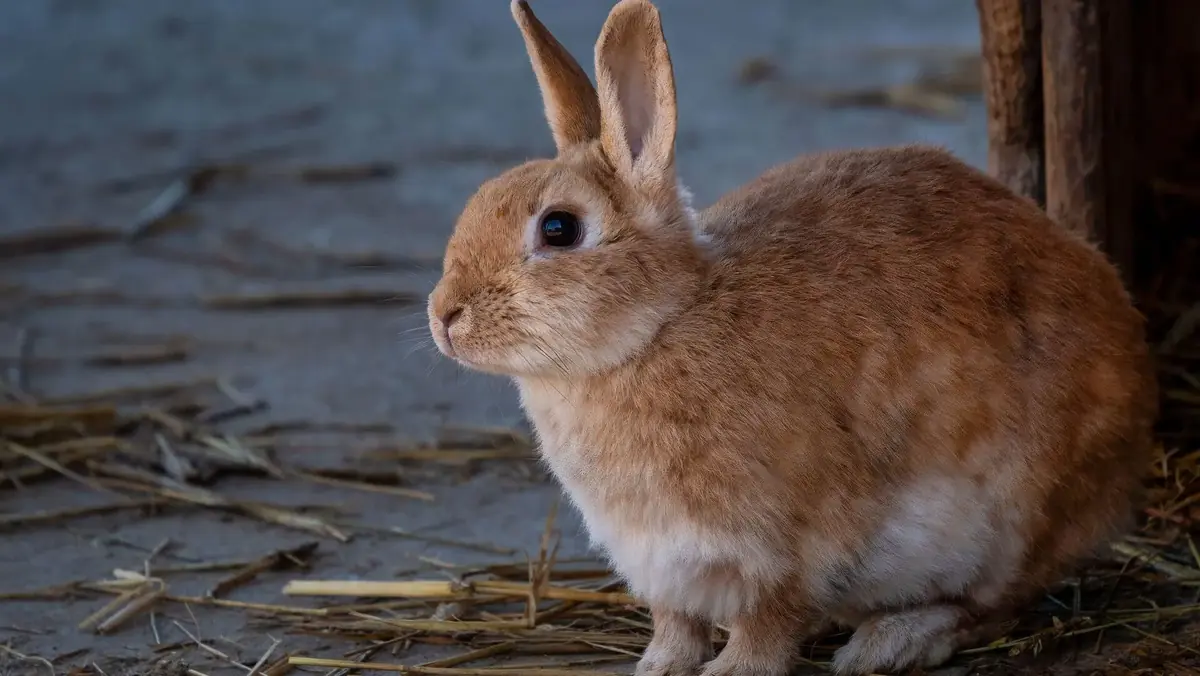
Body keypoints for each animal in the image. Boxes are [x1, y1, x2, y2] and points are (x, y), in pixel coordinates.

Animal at [425, 0, 1158, 674]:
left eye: (558, 229)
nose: (443, 316)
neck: (657, 328)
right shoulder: (662, 565)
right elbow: (676, 624)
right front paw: (659, 666)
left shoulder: (786, 551)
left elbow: (767, 623)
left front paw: (732, 671)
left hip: (1011, 520)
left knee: (994, 604)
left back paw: (888, 644)